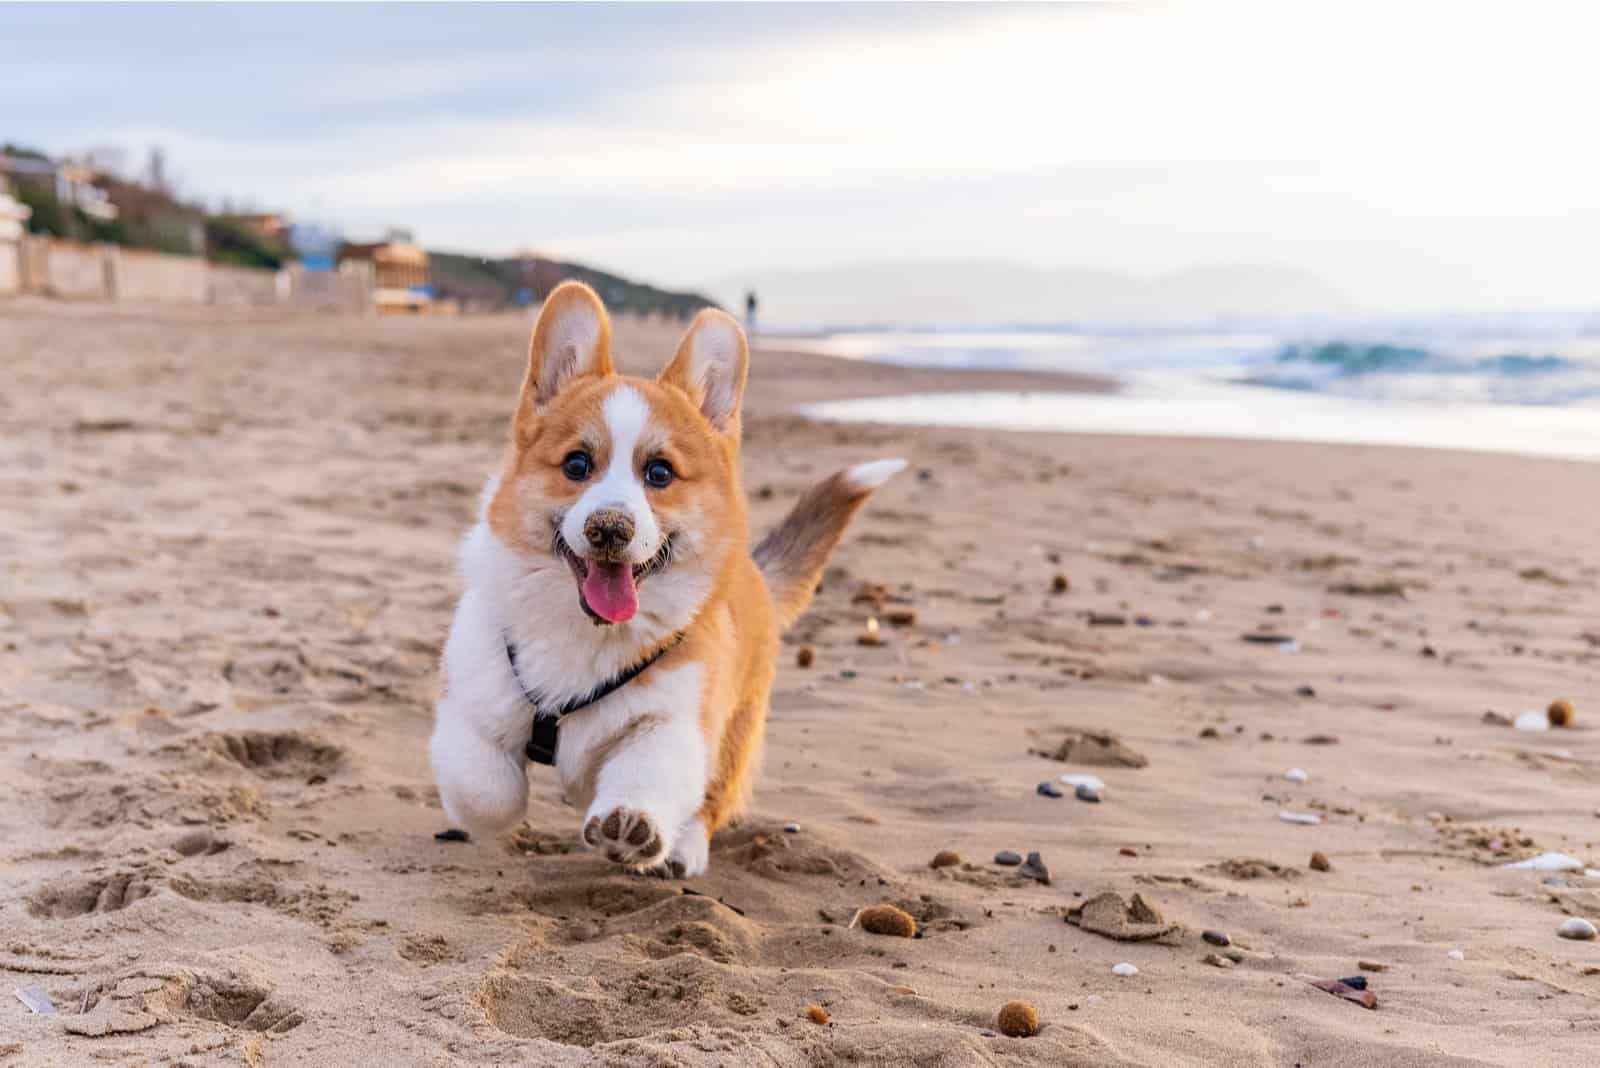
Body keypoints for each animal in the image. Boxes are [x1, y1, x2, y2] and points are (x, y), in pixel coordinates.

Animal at [428, 282, 902, 876]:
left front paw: (632, 826)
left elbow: (648, 776)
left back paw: (683, 848)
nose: (610, 528)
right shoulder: (474, 698)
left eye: (660, 473)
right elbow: (488, 789)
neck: (587, 633)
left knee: (711, 800)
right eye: (577, 465)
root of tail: (755, 573)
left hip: (737, 730)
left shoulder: (675, 722)